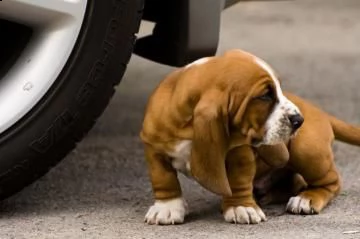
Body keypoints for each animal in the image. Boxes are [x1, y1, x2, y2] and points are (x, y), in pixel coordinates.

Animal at [139, 49, 302, 225]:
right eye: (265, 96)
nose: (299, 120)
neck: (189, 128)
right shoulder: (154, 148)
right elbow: (163, 178)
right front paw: (167, 207)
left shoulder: (240, 152)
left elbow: (239, 179)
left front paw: (241, 206)